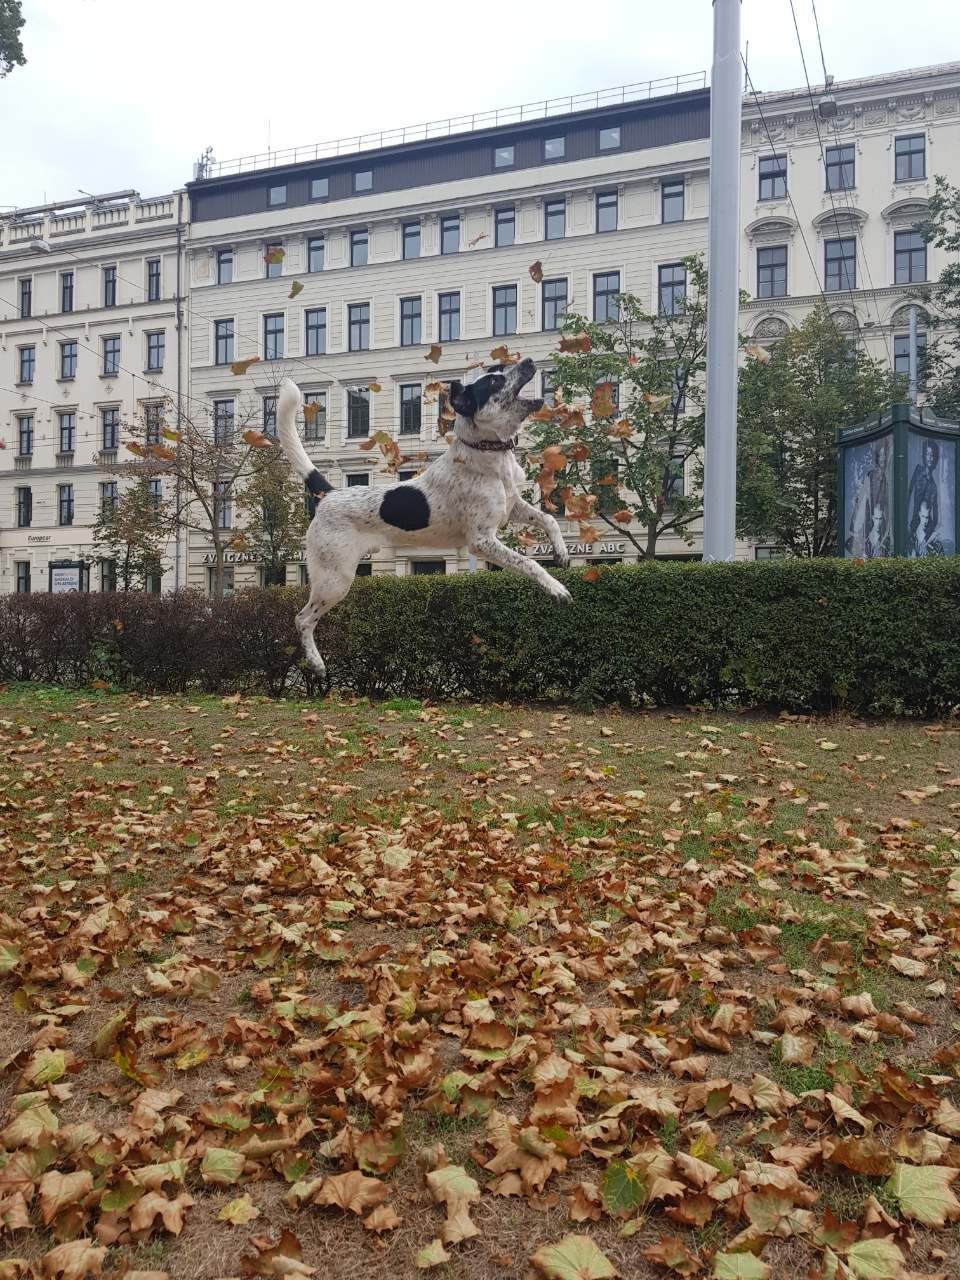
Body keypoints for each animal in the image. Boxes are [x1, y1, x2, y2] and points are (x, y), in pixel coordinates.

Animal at [273, 358, 570, 680]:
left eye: (503, 368)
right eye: (494, 381)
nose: (528, 361)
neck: (486, 454)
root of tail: (328, 495)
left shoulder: (513, 507)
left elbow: (549, 519)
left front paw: (561, 553)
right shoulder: (482, 541)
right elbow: (529, 563)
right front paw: (556, 588)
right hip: (335, 579)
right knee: (302, 619)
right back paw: (316, 662)